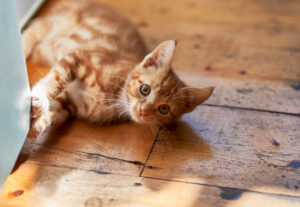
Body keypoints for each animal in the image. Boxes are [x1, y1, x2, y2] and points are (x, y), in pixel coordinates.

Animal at [23, 0, 214, 138]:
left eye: (164, 109)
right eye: (145, 89)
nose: (144, 111)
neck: (115, 96)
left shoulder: (70, 103)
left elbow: (55, 111)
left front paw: (35, 126)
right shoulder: (80, 56)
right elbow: (56, 78)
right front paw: (39, 99)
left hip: (44, 49)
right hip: (54, 24)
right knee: (32, 31)